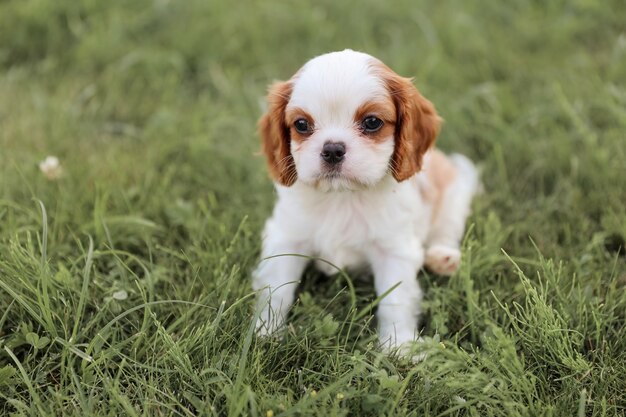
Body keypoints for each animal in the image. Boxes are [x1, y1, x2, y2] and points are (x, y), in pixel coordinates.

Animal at [251, 48, 476, 350]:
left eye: (371, 122)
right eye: (301, 124)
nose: (333, 149)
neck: (342, 197)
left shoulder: (395, 250)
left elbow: (396, 300)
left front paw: (399, 346)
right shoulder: (286, 238)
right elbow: (276, 288)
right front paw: (266, 334)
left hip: (454, 193)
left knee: (447, 229)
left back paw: (443, 257)